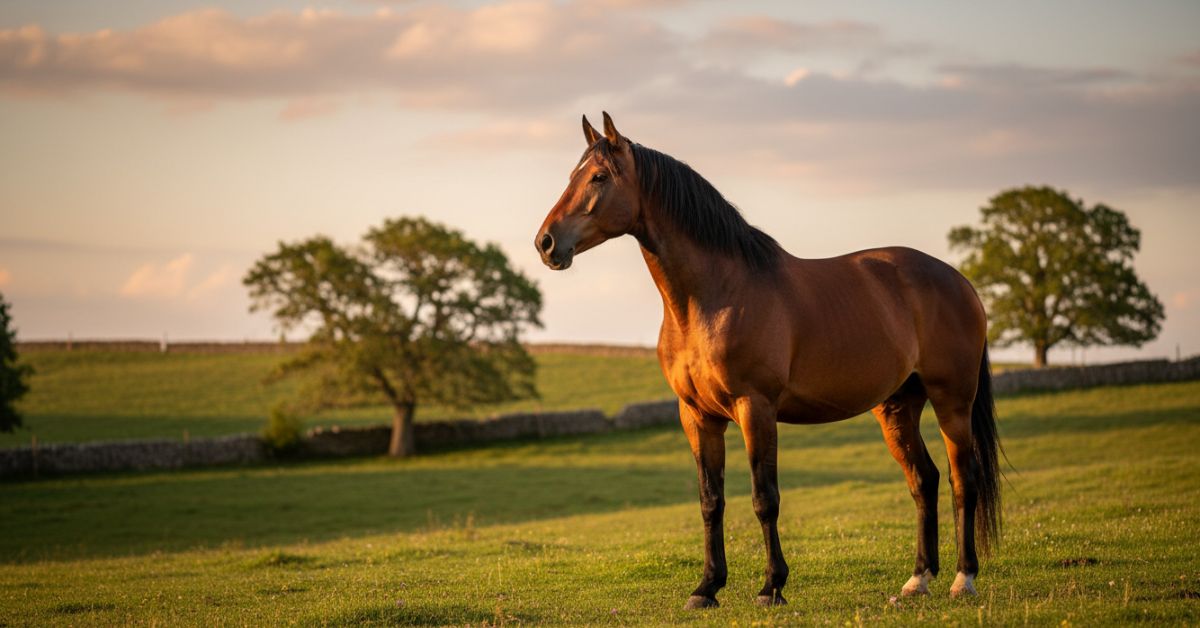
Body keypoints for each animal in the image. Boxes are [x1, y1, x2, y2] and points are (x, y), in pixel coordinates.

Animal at [535, 112, 1002, 609]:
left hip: (952, 401)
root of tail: (960, 281)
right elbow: (711, 501)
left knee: (962, 478)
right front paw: (706, 588)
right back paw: (918, 579)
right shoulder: (697, 416)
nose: (546, 243)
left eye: (599, 177)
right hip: (897, 406)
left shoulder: (754, 408)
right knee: (923, 480)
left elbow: (764, 498)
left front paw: (771, 586)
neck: (715, 296)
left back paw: (963, 578)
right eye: (573, 175)